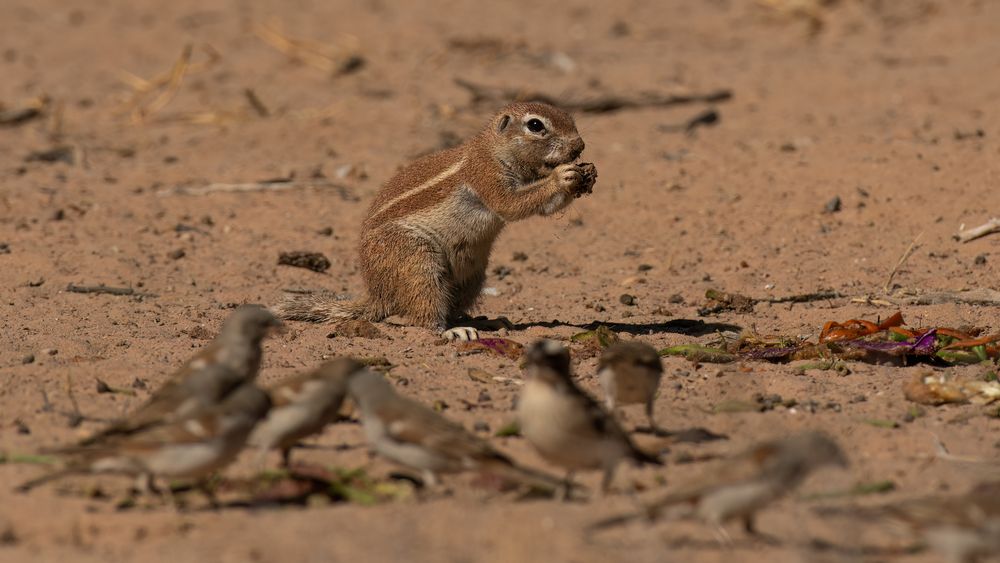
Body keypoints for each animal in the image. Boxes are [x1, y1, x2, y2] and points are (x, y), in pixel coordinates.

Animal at [276, 101, 592, 340]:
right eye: (536, 126)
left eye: (570, 117)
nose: (580, 145)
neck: (492, 149)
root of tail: (378, 293)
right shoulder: (486, 175)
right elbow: (511, 205)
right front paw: (562, 176)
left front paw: (584, 175)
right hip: (418, 263)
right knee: (421, 315)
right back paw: (451, 331)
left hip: (472, 275)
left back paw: (484, 322)